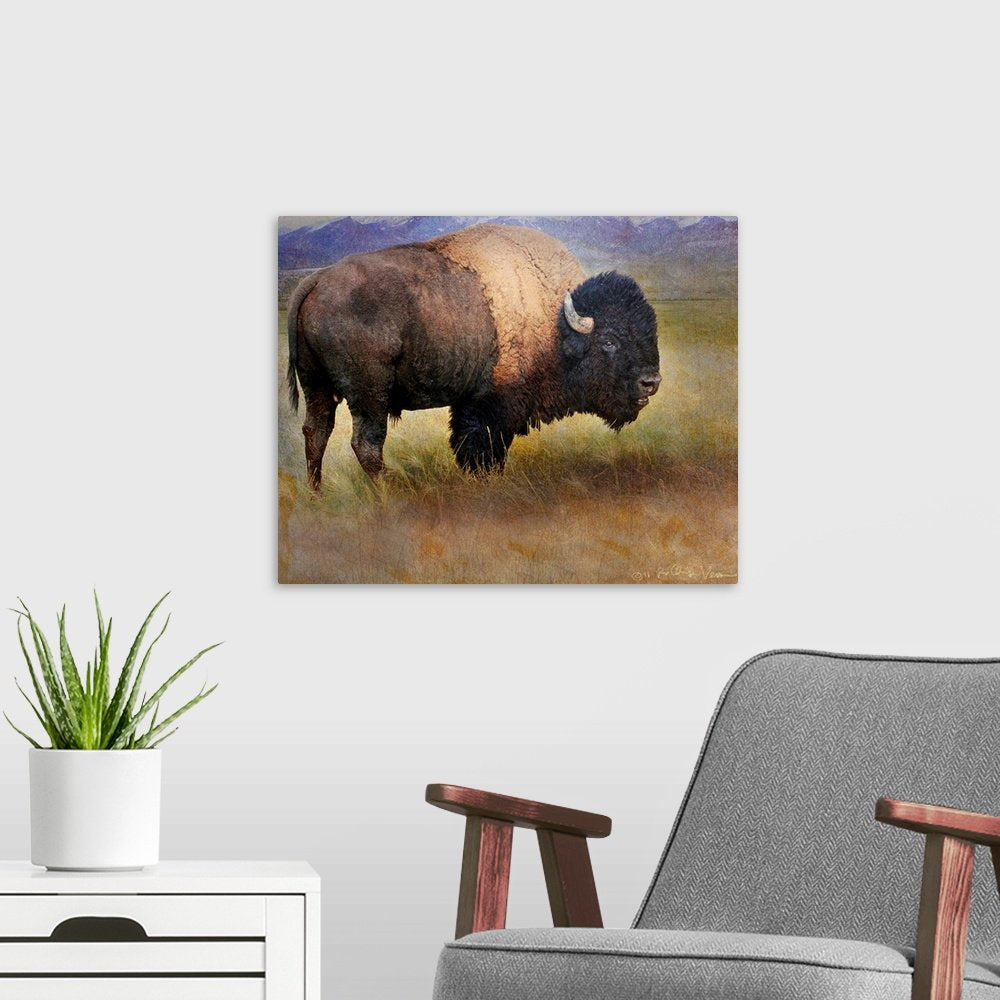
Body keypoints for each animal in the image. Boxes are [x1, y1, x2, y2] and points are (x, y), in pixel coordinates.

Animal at [286, 223, 660, 488]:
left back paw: (317, 494)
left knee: (316, 434)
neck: (556, 323)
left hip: (317, 386)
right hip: (369, 395)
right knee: (365, 443)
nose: (651, 381)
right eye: (609, 341)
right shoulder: (492, 405)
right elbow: (484, 448)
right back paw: (389, 492)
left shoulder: (470, 402)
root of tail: (316, 281)